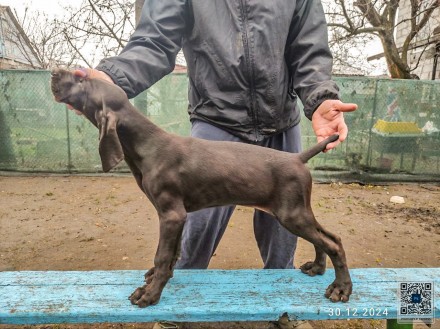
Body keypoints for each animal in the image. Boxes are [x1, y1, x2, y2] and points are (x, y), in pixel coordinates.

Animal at [51, 68, 352, 306]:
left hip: (291, 214)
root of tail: (297, 158)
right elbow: (172, 255)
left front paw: (150, 294)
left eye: (82, 81)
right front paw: (157, 280)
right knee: (332, 237)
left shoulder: (171, 214)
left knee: (332, 243)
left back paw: (341, 288)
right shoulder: (177, 216)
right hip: (298, 211)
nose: (55, 72)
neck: (147, 145)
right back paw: (317, 268)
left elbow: (162, 256)